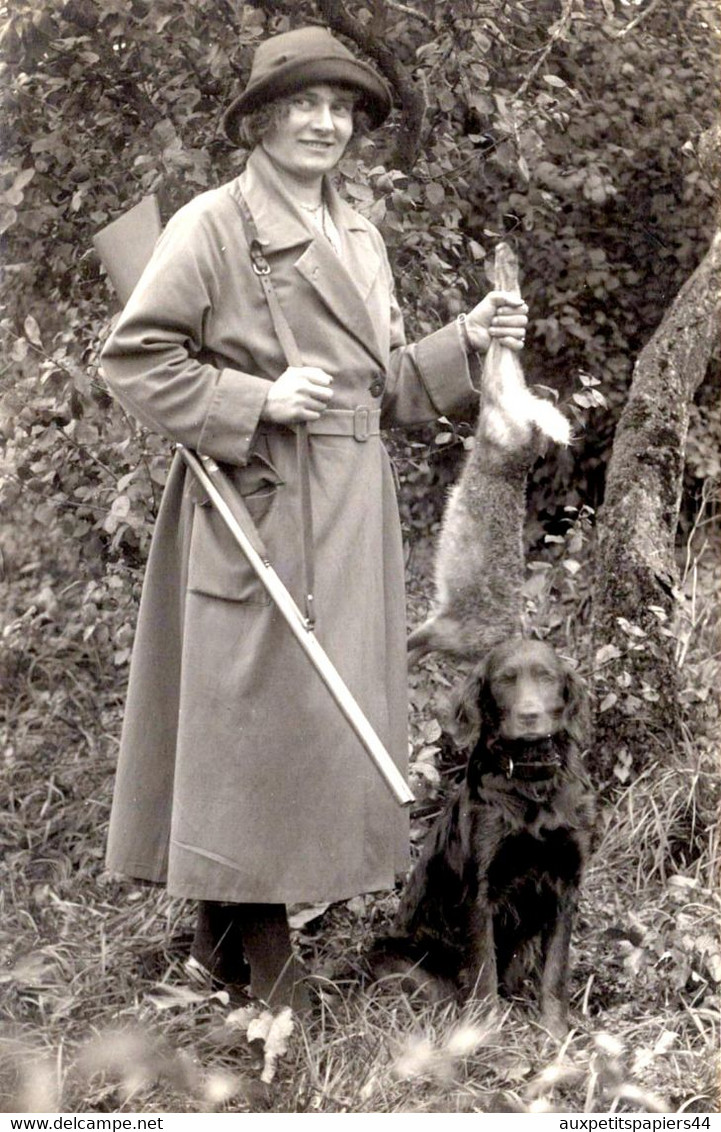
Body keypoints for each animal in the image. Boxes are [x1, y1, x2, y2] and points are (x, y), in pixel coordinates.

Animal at [371, 638, 597, 1036]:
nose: (529, 715)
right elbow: (482, 972)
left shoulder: (566, 884)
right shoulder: (479, 891)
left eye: (547, 677)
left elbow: (555, 971)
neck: (530, 782)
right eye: (505, 680)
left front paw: (555, 1033)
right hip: (390, 955)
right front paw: (485, 1034)